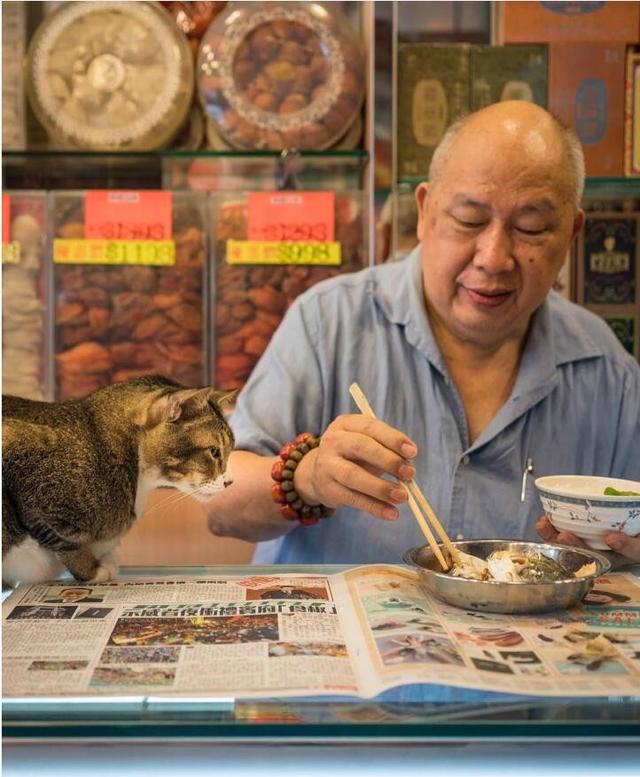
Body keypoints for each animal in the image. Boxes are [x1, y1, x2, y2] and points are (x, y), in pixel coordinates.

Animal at [1, 372, 236, 584]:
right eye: (214, 451)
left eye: (229, 450)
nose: (230, 482)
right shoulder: (33, 497)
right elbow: (67, 542)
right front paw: (92, 571)